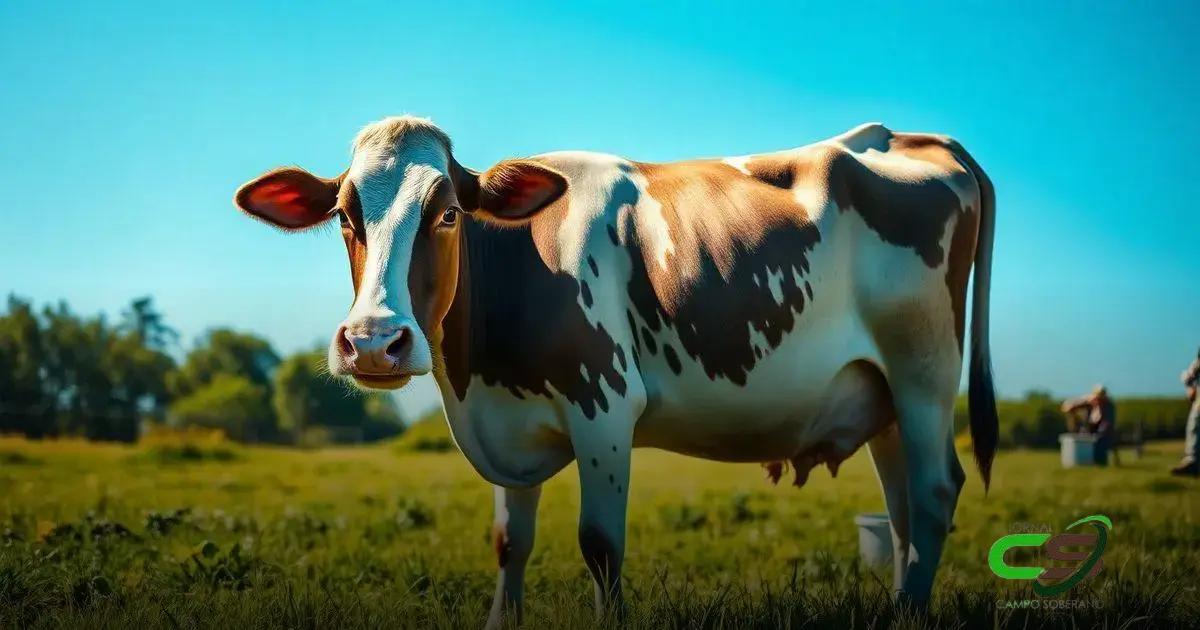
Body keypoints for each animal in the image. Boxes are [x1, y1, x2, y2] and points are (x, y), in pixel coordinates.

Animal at [234, 116, 998, 625]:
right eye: (344, 216)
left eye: (447, 212)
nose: (373, 342)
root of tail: (902, 135)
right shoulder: (509, 419)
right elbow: (510, 544)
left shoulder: (602, 405)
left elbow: (600, 547)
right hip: (882, 393)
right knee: (902, 511)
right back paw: (902, 608)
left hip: (924, 368)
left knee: (935, 491)